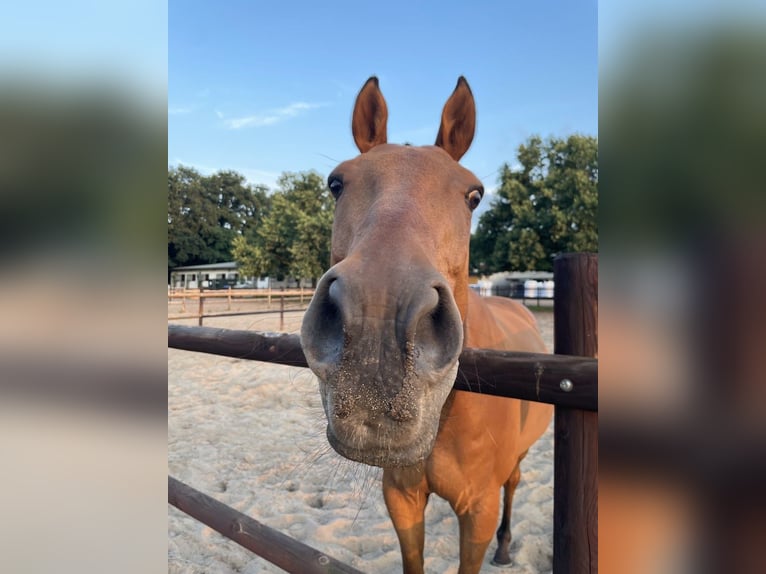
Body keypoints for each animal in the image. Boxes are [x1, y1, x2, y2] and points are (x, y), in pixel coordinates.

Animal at [300, 77, 553, 574]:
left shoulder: (478, 510)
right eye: (336, 183)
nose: (378, 331)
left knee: (514, 484)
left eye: (474, 195)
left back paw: (505, 547)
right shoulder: (401, 497)